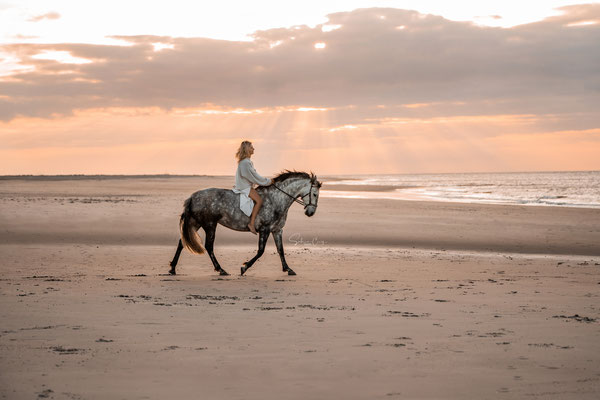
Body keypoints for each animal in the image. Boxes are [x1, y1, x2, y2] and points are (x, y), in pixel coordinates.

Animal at [166, 170, 322, 276]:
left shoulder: (277, 230)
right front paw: (244, 267)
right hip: (210, 225)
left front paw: (288, 269)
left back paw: (173, 268)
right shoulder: (265, 229)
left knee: (182, 243)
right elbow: (260, 251)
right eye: (315, 194)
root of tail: (193, 196)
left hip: (196, 223)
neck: (276, 199)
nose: (310, 212)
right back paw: (221, 269)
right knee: (209, 246)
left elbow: (281, 250)